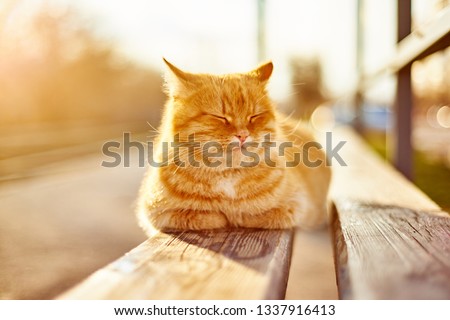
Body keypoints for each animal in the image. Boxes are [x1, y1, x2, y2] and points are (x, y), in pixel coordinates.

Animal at [137, 58, 330, 234]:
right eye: (220, 117)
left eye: (254, 116)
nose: (243, 135)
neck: (228, 175)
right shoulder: (157, 214)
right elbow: (206, 217)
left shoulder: (297, 207)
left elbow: (258, 215)